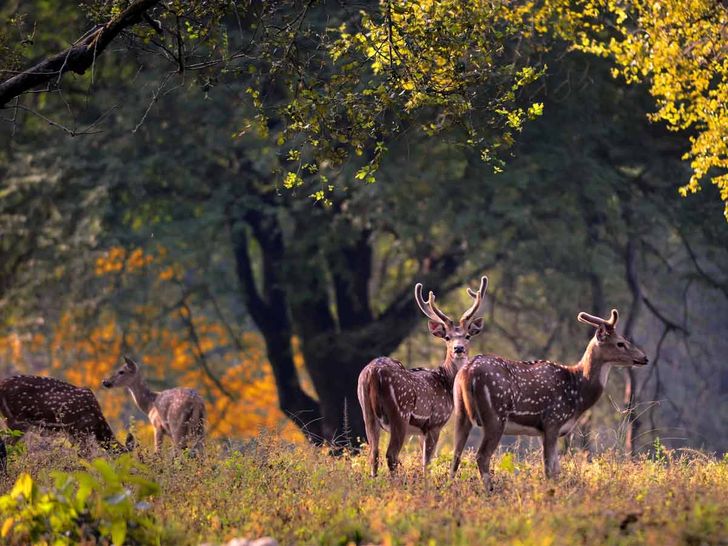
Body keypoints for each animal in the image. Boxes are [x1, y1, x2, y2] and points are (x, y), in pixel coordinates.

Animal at [358, 274, 490, 474]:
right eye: (447, 337)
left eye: (467, 336)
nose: (458, 349)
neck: (446, 382)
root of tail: (373, 373)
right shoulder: (435, 422)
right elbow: (427, 462)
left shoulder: (421, 430)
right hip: (400, 413)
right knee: (391, 454)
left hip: (366, 411)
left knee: (373, 454)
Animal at [450, 306, 648, 488]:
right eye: (620, 343)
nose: (644, 358)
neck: (578, 392)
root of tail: (467, 372)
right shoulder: (553, 420)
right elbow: (549, 470)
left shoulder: (543, 430)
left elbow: (556, 469)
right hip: (495, 415)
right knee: (482, 456)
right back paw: (489, 490)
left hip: (460, 412)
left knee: (456, 454)